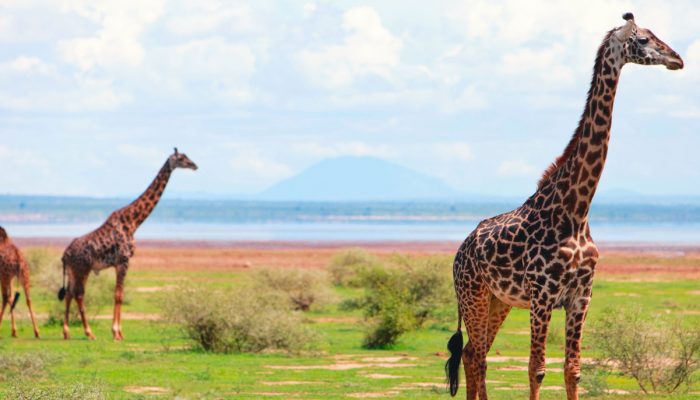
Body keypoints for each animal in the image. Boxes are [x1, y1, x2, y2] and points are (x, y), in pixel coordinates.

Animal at [58, 148, 198, 340]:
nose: (195, 165)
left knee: (69, 294)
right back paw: (89, 333)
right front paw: (116, 333)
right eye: (181, 158)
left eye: (187, 156)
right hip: (83, 269)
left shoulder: (120, 263)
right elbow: (118, 295)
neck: (134, 222)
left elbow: (119, 294)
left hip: (74, 271)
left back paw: (66, 332)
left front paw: (119, 332)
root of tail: (65, 254)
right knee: (79, 294)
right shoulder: (124, 261)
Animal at [442, 13, 684, 400]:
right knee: (476, 355)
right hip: (473, 295)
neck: (577, 209)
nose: (678, 59)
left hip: (499, 301)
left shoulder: (581, 295)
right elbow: (536, 369)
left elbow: (573, 370)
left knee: (471, 353)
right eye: (644, 39)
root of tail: (461, 250)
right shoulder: (542, 294)